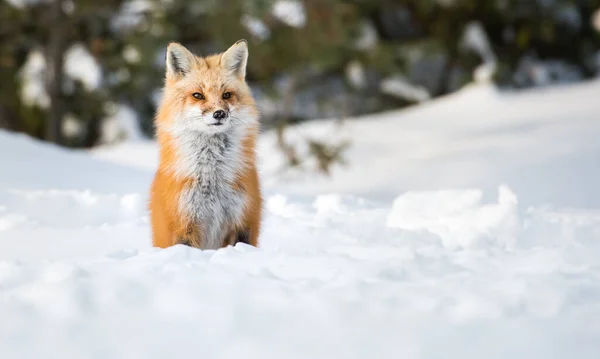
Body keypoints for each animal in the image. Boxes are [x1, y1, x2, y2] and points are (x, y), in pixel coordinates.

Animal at [149, 38, 262, 248]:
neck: (212, 176)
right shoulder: (184, 223)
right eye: (198, 95)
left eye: (226, 95)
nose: (219, 113)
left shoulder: (243, 220)